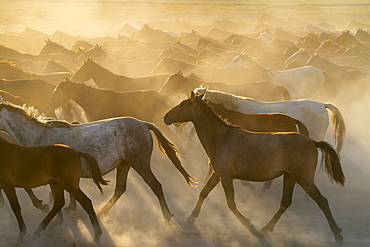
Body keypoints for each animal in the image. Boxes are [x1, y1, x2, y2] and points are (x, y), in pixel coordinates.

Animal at [0, 100, 197, 222]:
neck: (39, 135)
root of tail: (143, 124)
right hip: (124, 165)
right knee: (120, 189)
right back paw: (102, 212)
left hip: (140, 163)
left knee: (155, 186)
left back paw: (167, 217)